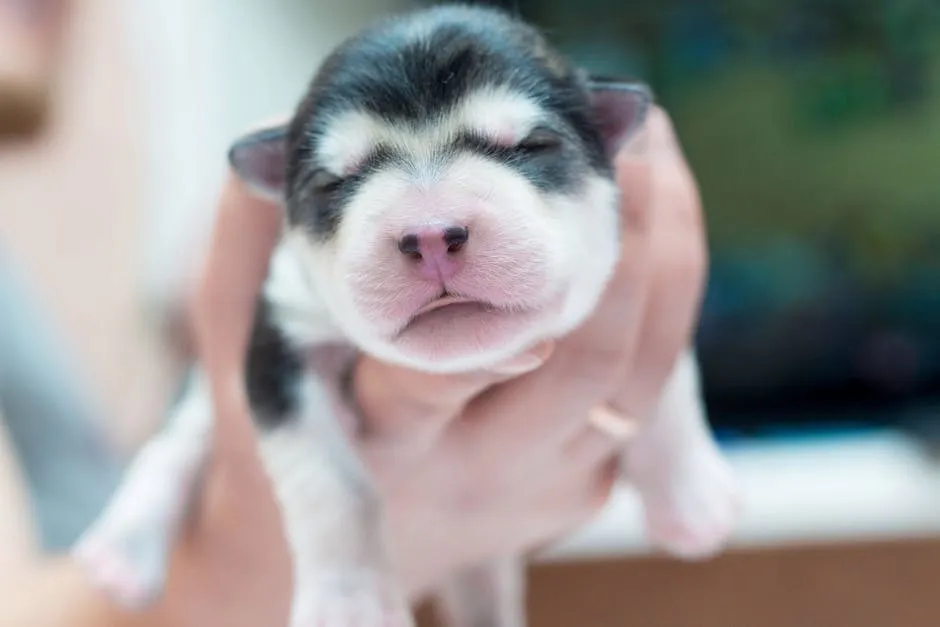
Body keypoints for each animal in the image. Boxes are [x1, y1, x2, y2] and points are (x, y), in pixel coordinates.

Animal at [75, 6, 740, 627]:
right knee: (172, 448)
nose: (430, 234)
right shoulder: (281, 335)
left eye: (529, 146)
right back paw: (123, 549)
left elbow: (668, 373)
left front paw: (691, 494)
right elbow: (329, 482)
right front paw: (348, 602)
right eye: (333, 182)